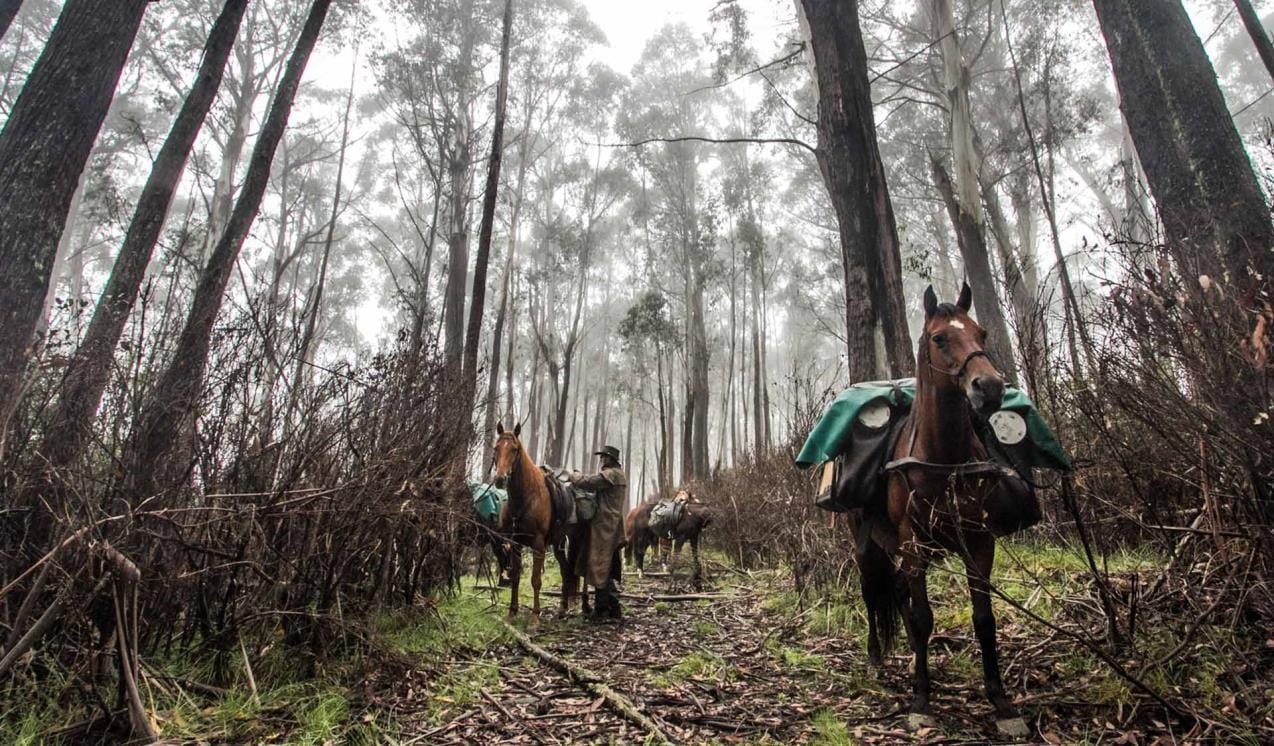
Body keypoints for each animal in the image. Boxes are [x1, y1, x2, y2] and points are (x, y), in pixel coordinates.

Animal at [489, 420, 588, 618]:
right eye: (496, 448)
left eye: (515, 449)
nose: (500, 479)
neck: (526, 496)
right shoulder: (515, 544)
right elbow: (516, 577)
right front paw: (512, 613)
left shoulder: (538, 544)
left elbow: (536, 580)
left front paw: (535, 617)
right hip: (559, 543)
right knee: (566, 571)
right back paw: (563, 608)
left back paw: (586, 606)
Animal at [851, 281, 1029, 733]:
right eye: (939, 338)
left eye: (982, 333)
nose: (990, 387)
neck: (943, 457)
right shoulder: (912, 540)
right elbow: (922, 616)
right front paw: (921, 699)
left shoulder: (979, 541)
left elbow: (983, 617)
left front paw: (1001, 701)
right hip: (867, 543)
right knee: (871, 590)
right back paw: (876, 656)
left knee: (898, 589)